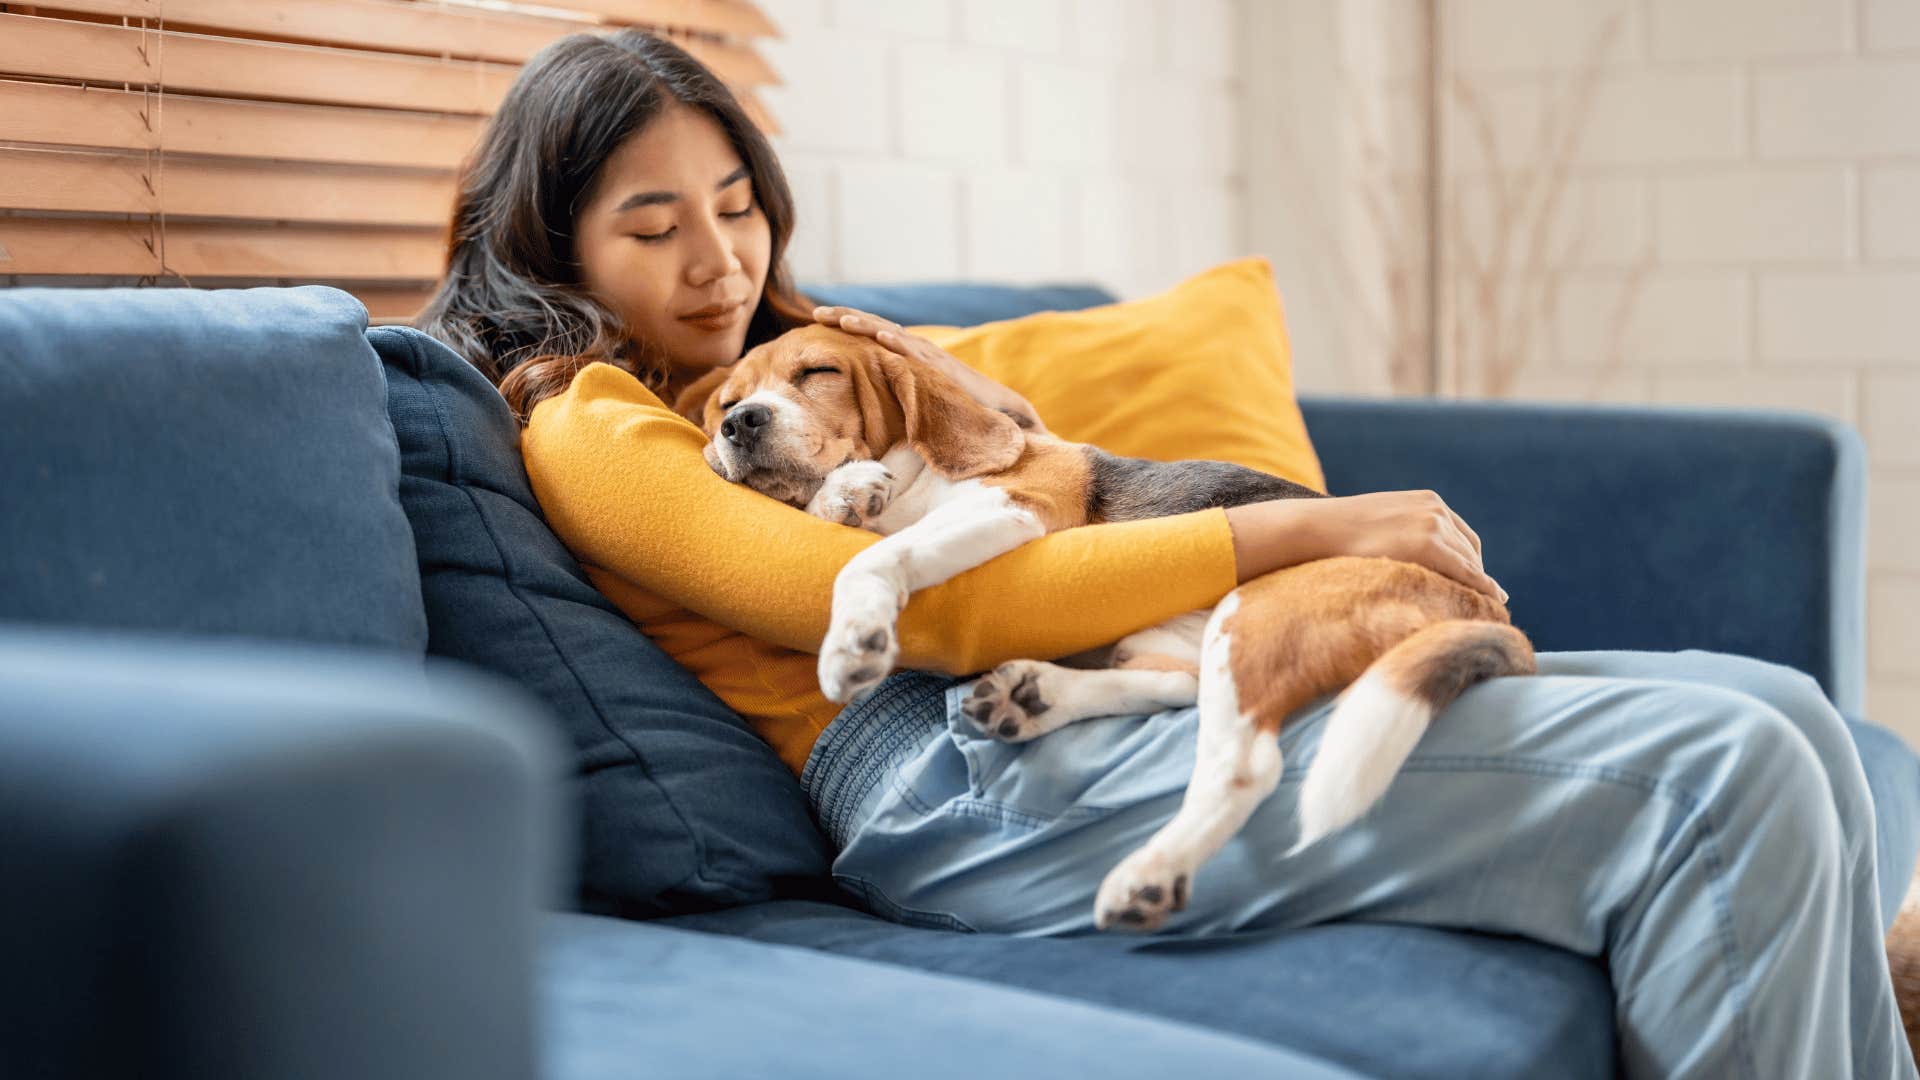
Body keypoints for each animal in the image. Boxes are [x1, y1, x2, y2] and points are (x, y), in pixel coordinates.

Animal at [675, 322, 1528, 930]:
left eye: (817, 373)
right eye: (724, 403)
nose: (740, 425)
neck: (920, 474)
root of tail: (1489, 607)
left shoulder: (1017, 508)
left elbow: (872, 560)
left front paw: (855, 633)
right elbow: (858, 524)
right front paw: (845, 494)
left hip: (1258, 612)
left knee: (1245, 761)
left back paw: (1149, 872)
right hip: (1184, 634)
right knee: (1175, 688)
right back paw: (1035, 697)